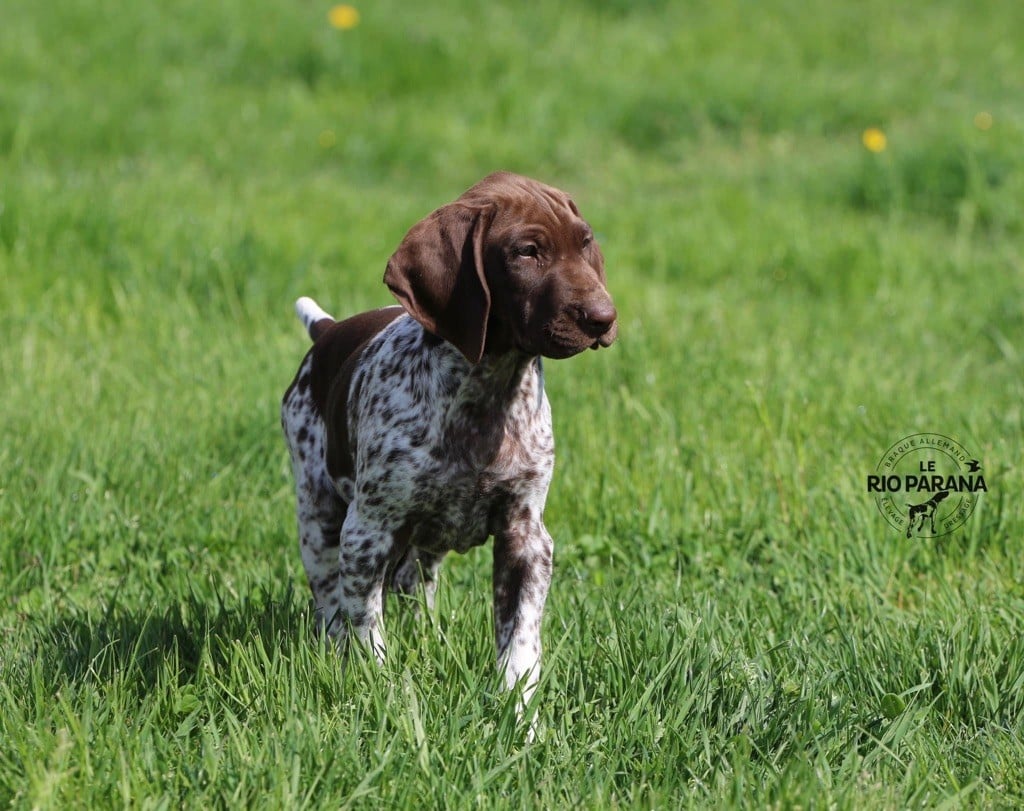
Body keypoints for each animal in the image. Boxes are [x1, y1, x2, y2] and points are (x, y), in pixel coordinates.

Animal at [280, 173, 614, 708]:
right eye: (527, 252)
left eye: (585, 244)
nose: (604, 318)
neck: (487, 390)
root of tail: (329, 331)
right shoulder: (368, 531)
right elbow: (366, 628)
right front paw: (383, 690)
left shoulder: (526, 536)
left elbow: (520, 639)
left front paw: (519, 711)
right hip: (319, 512)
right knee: (332, 601)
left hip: (422, 538)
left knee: (414, 583)